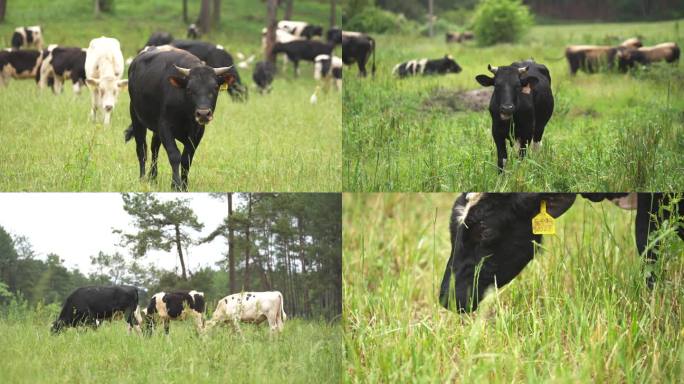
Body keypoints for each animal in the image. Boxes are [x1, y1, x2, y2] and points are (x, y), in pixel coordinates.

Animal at [125, 47, 235, 191]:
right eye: (189, 89)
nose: (203, 114)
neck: (185, 112)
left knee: (154, 148)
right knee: (141, 150)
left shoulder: (197, 132)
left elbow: (186, 159)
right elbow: (174, 155)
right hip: (136, 118)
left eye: (215, 88)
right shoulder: (165, 127)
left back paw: (153, 178)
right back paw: (143, 179)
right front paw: (175, 185)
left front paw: (184, 185)